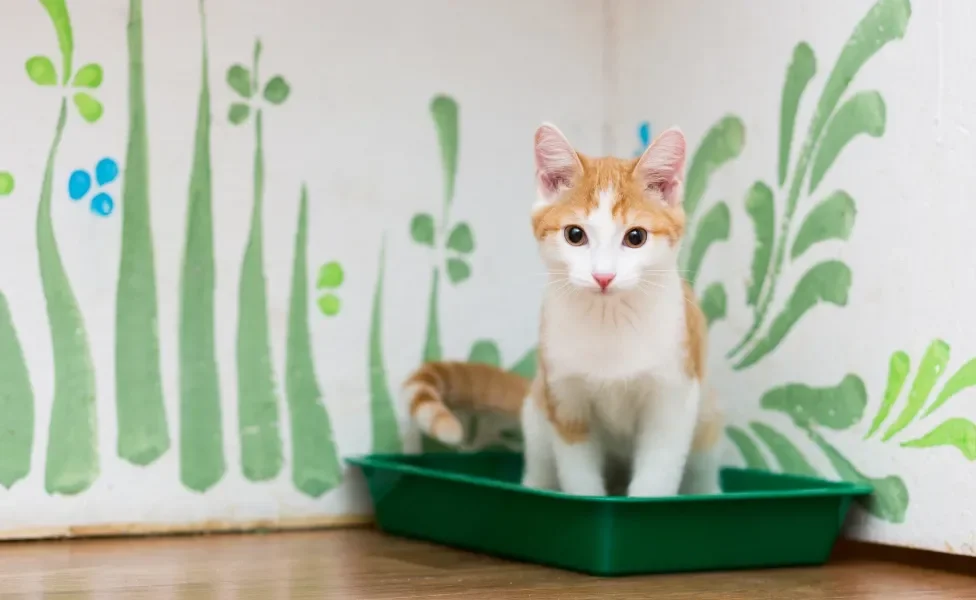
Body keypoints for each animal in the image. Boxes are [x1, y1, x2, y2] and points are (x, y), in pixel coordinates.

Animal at [400, 123, 720, 496]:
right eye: (575, 235)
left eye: (636, 237)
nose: (603, 276)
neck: (609, 322)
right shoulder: (565, 398)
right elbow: (578, 474)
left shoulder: (672, 396)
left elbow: (658, 470)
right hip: (539, 410)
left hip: (707, 417)